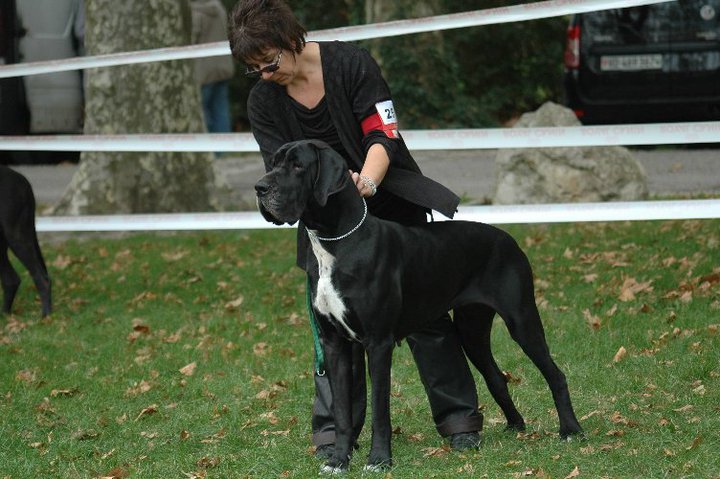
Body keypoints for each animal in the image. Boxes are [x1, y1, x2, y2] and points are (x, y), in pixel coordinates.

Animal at [256, 140, 584, 472]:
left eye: (298, 165)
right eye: (274, 162)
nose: (260, 187)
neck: (337, 242)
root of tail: (508, 238)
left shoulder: (378, 343)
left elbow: (380, 409)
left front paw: (379, 460)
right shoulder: (335, 344)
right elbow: (342, 412)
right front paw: (338, 460)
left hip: (522, 320)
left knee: (555, 374)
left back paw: (570, 430)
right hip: (472, 330)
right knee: (496, 377)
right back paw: (516, 425)